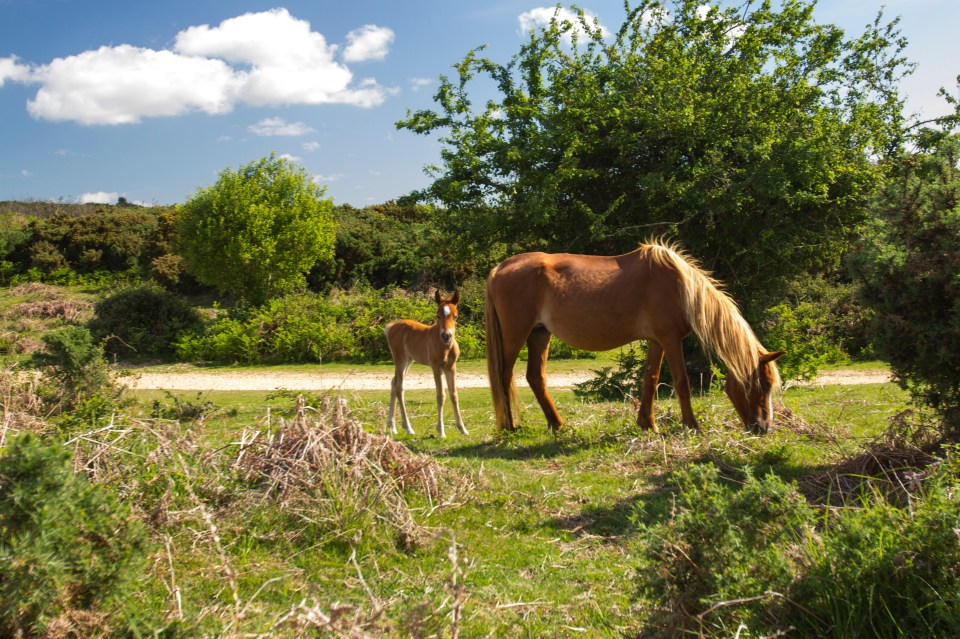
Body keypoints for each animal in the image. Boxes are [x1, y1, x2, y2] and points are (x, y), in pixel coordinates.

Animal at [386, 292, 468, 438]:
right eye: (438, 315)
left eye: (456, 316)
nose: (446, 335)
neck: (445, 347)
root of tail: (391, 326)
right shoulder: (436, 367)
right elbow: (441, 396)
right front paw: (441, 431)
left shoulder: (451, 367)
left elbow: (454, 395)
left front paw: (462, 429)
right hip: (400, 359)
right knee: (399, 387)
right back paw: (408, 428)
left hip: (409, 360)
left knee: (393, 382)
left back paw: (392, 427)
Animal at [484, 241, 784, 436]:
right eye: (762, 384)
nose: (764, 428)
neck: (679, 286)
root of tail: (500, 267)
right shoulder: (670, 339)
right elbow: (682, 382)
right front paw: (692, 426)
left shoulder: (656, 341)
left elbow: (650, 380)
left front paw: (647, 424)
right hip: (514, 336)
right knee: (503, 376)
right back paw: (510, 426)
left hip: (539, 334)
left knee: (535, 377)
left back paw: (557, 424)